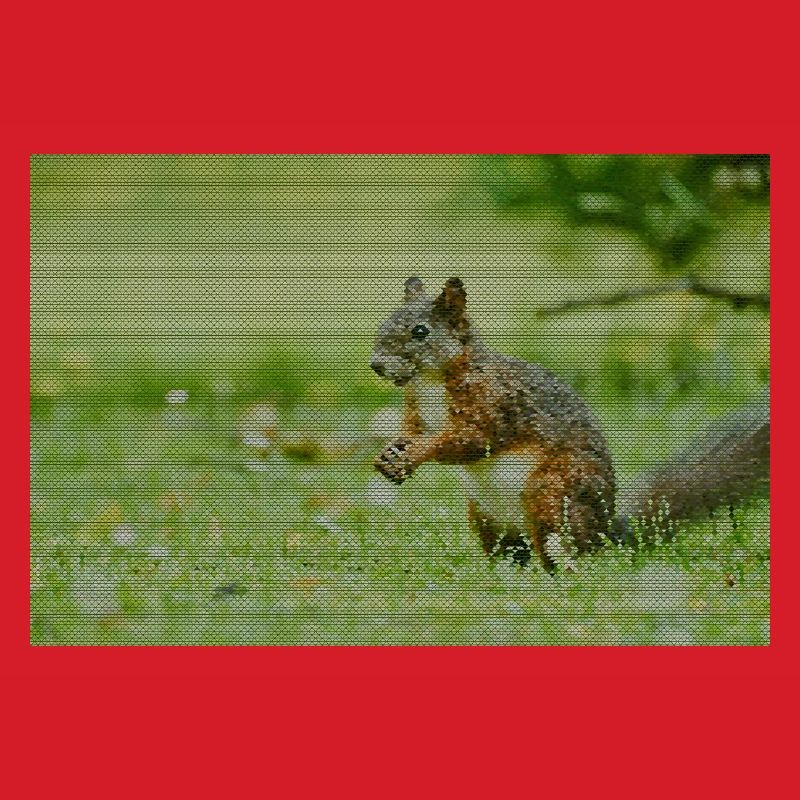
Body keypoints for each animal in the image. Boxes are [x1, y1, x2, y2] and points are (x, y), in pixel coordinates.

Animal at [370, 277, 770, 571]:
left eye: (420, 332)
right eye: (385, 321)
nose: (376, 365)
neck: (431, 381)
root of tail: (607, 530)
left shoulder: (496, 402)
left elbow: (470, 439)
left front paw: (416, 453)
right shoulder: (417, 409)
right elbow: (412, 430)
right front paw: (390, 453)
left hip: (553, 493)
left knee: (567, 548)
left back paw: (561, 571)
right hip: (486, 517)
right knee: (513, 552)